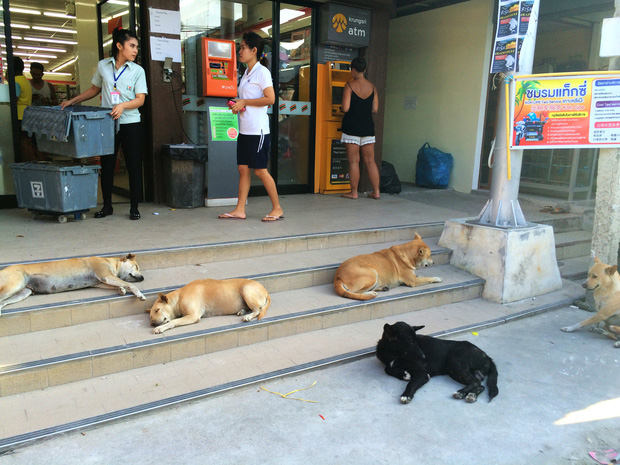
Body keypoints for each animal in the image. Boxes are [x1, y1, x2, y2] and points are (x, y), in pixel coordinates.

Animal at [0, 254, 147, 312]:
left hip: (22, 292)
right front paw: (139, 294)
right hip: (15, 284)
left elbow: (120, 284)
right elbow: (131, 284)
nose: (143, 278)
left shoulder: (100, 282)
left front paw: (121, 289)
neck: (111, 262)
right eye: (136, 266)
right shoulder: (105, 276)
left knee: (2, 303)